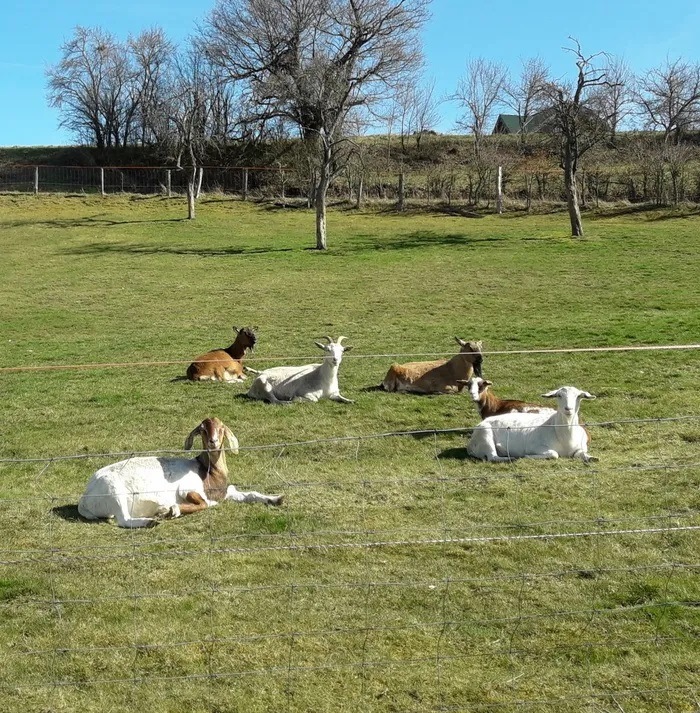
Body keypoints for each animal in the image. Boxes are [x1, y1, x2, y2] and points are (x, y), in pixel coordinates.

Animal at [78, 414, 284, 524]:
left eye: (221, 428)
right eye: (203, 429)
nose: (213, 442)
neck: (207, 472)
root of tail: (85, 498)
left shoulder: (225, 492)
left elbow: (249, 494)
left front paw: (276, 498)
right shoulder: (187, 489)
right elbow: (203, 504)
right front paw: (170, 510)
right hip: (115, 491)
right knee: (124, 519)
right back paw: (152, 520)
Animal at [464, 384, 596, 462]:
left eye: (579, 396)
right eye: (559, 395)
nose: (568, 409)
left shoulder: (580, 448)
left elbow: (581, 453)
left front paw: (592, 457)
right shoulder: (536, 447)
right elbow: (554, 454)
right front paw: (527, 456)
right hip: (485, 436)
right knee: (492, 457)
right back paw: (512, 457)